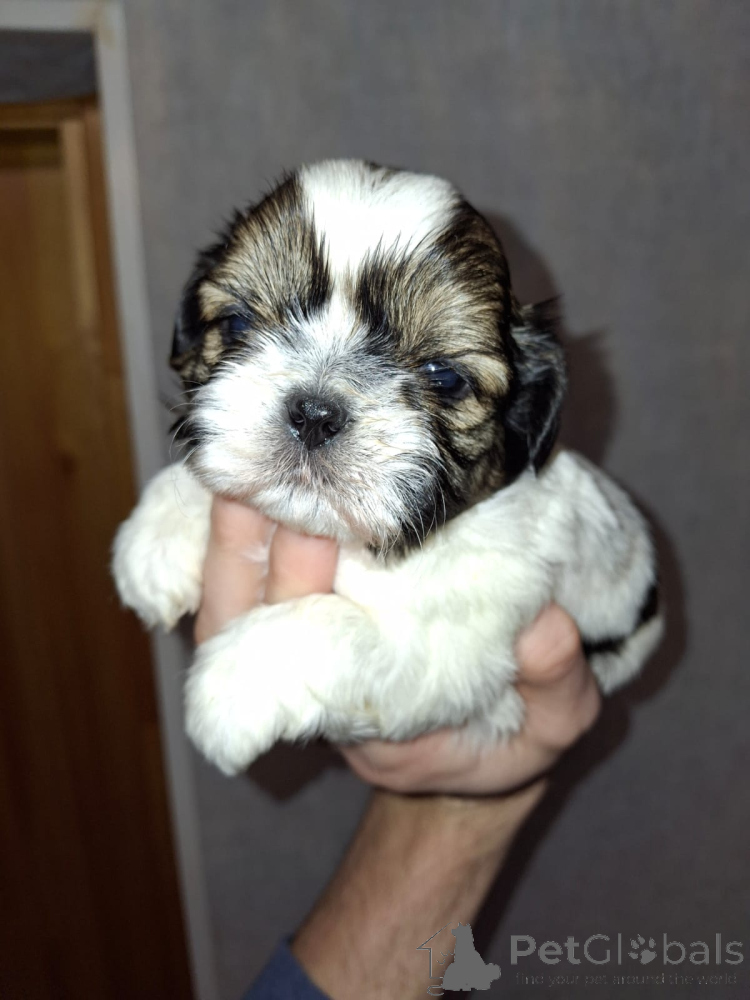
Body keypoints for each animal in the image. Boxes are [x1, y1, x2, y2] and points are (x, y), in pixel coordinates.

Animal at [112, 159, 663, 775]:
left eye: (444, 376)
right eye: (236, 324)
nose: (314, 412)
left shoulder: (447, 648)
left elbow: (334, 630)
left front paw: (228, 688)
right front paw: (155, 536)